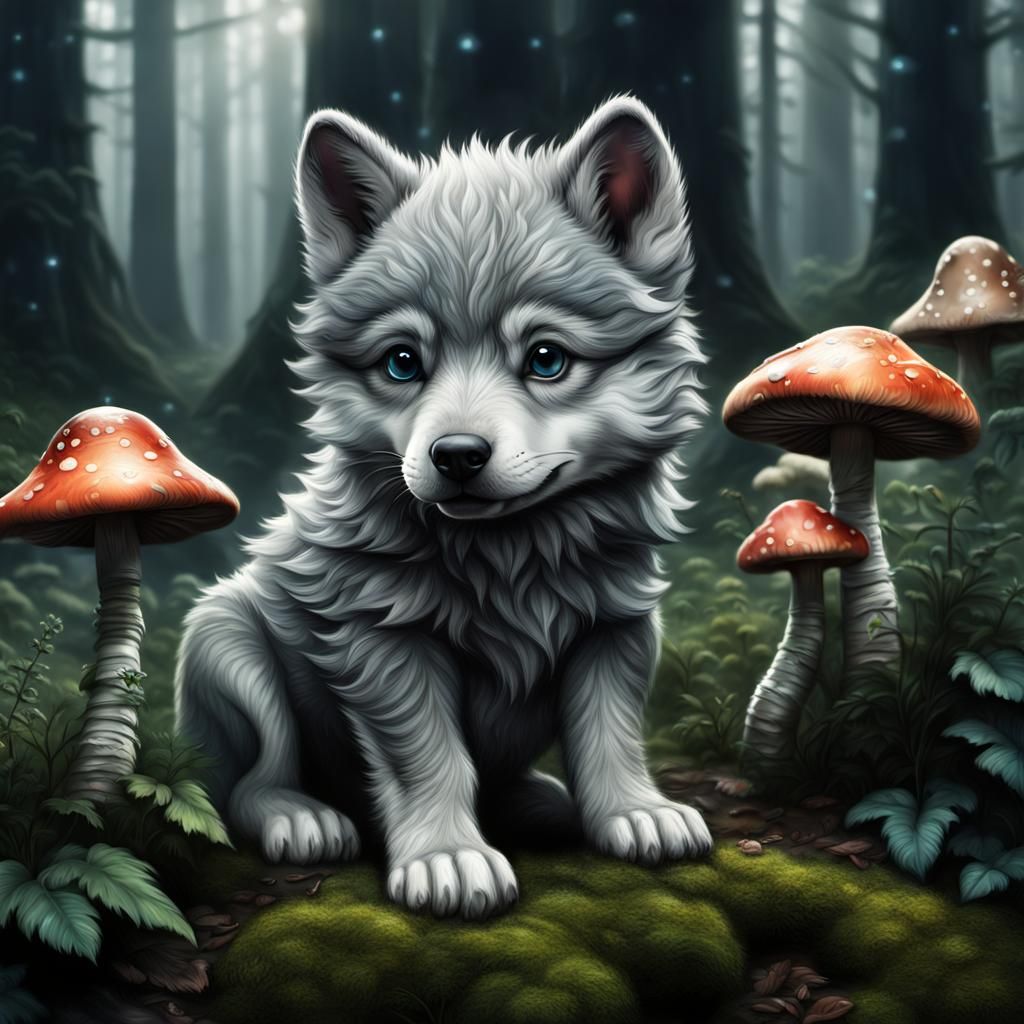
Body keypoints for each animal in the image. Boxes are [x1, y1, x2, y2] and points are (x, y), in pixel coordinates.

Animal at [176, 95, 712, 919]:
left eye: (546, 359)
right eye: (403, 363)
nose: (456, 455)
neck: (512, 558)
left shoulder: (615, 625)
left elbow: (609, 737)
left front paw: (635, 813)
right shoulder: (383, 643)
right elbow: (432, 758)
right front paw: (447, 858)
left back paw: (540, 802)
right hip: (225, 637)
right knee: (248, 785)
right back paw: (302, 817)